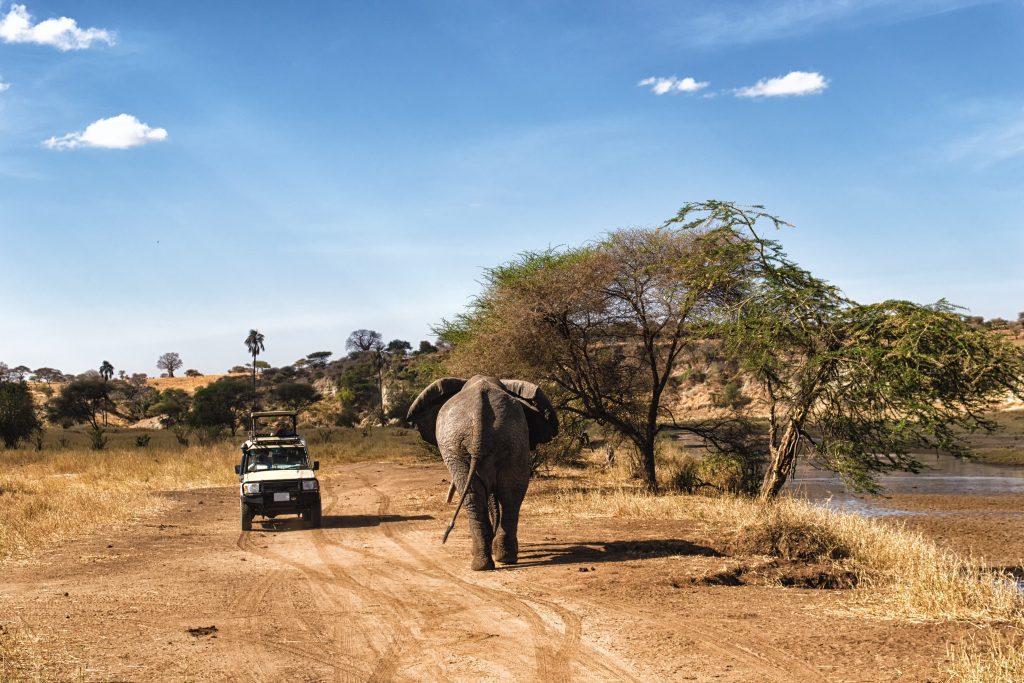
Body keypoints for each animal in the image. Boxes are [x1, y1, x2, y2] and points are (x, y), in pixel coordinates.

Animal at [405, 374, 561, 573]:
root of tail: (480, 415)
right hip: (504, 441)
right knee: (505, 494)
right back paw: (498, 560)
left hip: (463, 446)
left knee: (487, 494)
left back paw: (488, 561)